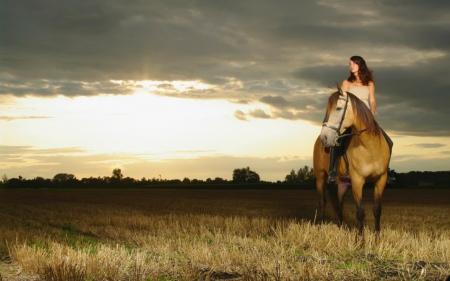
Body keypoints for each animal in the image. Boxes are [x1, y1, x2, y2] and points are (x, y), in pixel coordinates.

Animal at [312, 83, 390, 234]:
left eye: (338, 108)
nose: (325, 137)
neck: (370, 147)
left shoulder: (381, 180)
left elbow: (377, 210)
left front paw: (377, 237)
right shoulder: (357, 181)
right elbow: (360, 212)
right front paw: (360, 239)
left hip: (343, 182)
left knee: (339, 204)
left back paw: (342, 228)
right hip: (320, 177)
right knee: (322, 202)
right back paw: (322, 226)